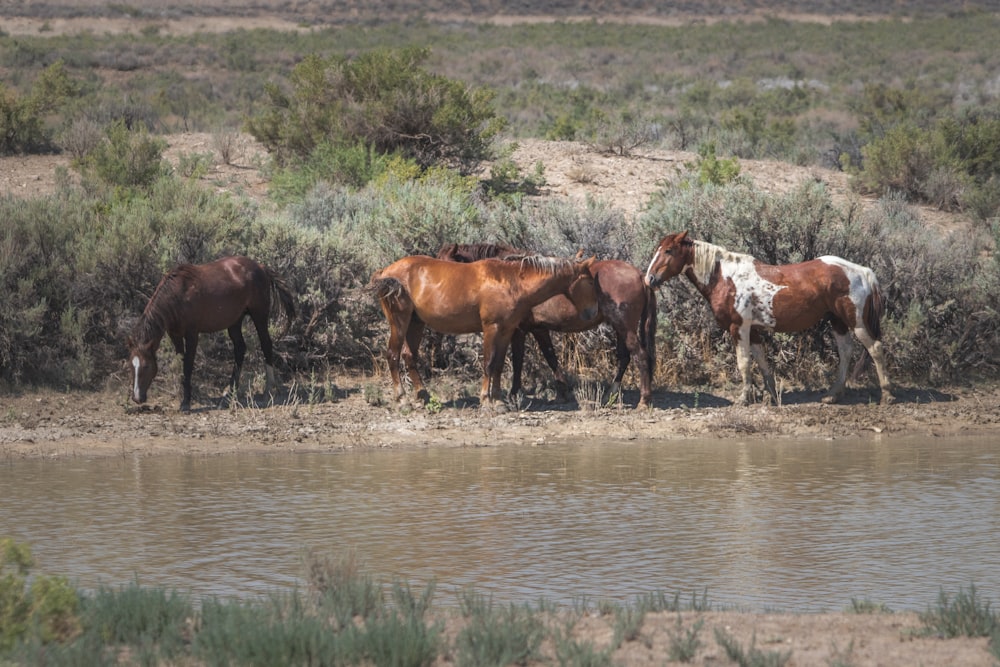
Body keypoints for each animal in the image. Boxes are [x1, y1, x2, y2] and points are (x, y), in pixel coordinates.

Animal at [127, 258, 294, 410]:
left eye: (146, 366)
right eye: (131, 365)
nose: (137, 398)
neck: (177, 294)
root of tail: (261, 267)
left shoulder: (192, 334)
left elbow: (188, 365)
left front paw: (186, 402)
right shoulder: (175, 335)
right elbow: (181, 362)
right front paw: (184, 395)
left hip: (259, 315)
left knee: (266, 344)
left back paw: (268, 390)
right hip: (235, 322)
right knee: (240, 349)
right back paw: (230, 392)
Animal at [372, 253, 596, 404]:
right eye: (589, 281)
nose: (592, 313)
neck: (511, 282)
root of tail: (386, 272)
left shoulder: (507, 330)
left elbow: (498, 364)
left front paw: (497, 399)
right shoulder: (491, 328)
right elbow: (488, 362)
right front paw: (485, 400)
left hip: (416, 323)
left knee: (409, 356)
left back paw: (423, 395)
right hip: (399, 322)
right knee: (393, 355)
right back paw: (401, 397)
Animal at [438, 241, 656, 404]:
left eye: (447, 265)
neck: (513, 279)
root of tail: (639, 275)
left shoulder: (520, 330)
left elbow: (520, 361)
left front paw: (515, 393)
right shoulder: (536, 330)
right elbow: (549, 357)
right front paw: (563, 391)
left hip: (624, 327)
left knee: (639, 355)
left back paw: (644, 400)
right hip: (620, 328)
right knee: (625, 357)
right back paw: (610, 393)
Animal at [644, 230, 896, 408]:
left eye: (668, 251)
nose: (649, 279)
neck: (724, 278)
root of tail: (863, 271)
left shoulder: (739, 328)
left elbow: (744, 362)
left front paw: (744, 398)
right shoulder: (753, 330)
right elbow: (761, 360)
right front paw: (770, 395)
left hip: (857, 323)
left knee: (875, 349)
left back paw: (887, 395)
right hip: (838, 322)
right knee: (845, 352)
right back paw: (833, 395)